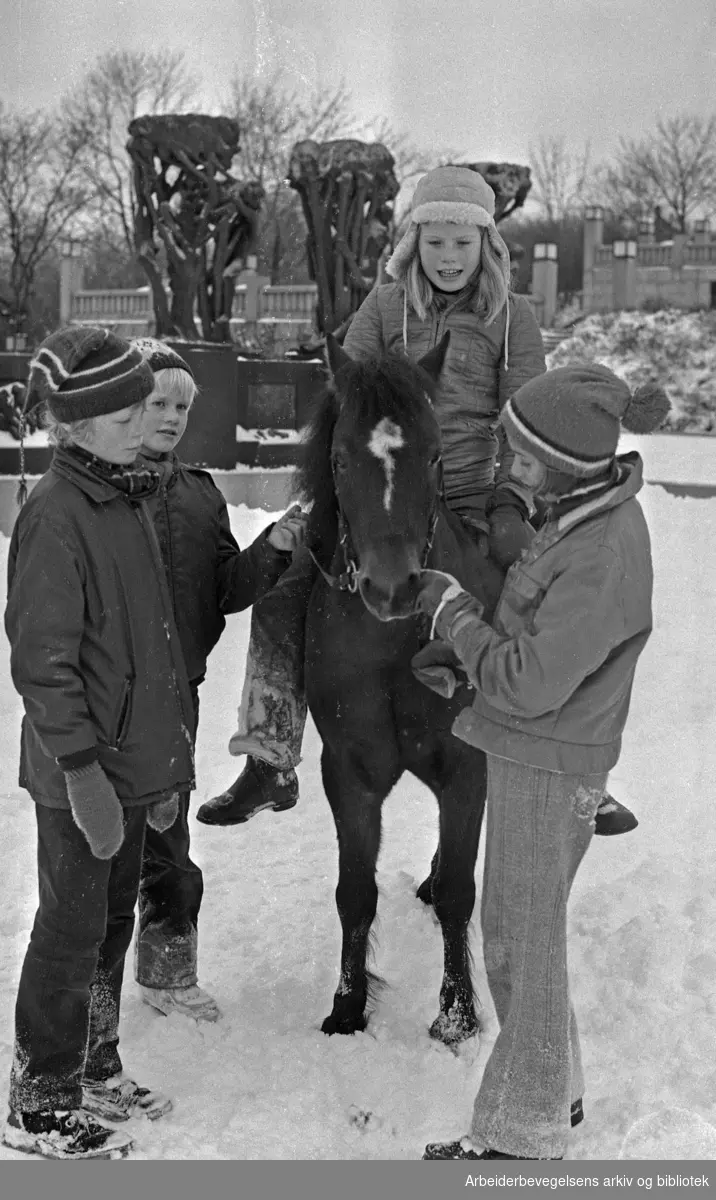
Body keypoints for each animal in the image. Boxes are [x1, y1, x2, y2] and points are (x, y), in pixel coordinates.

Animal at [292, 333, 506, 1046]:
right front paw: (348, 1005)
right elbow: (355, 891)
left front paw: (458, 1013)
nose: (392, 587)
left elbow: (461, 894)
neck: (392, 651)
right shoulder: (349, 773)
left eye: (435, 454)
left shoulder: (467, 766)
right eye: (339, 457)